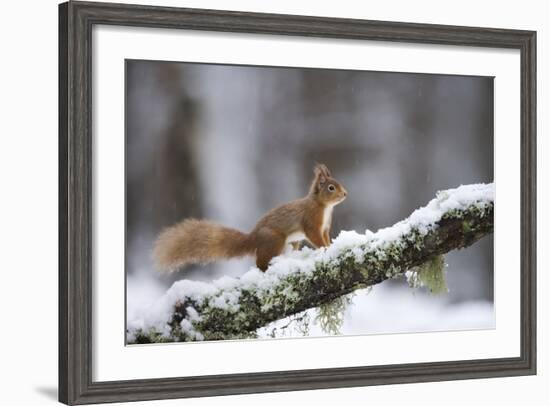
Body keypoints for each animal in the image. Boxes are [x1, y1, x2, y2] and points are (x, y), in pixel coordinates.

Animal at [153, 163, 348, 272]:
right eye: (331, 187)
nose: (345, 194)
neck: (324, 207)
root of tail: (253, 238)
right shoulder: (311, 221)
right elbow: (315, 237)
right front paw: (325, 249)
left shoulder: (325, 227)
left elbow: (326, 237)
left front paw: (331, 246)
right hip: (274, 240)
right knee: (260, 262)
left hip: (290, 243)